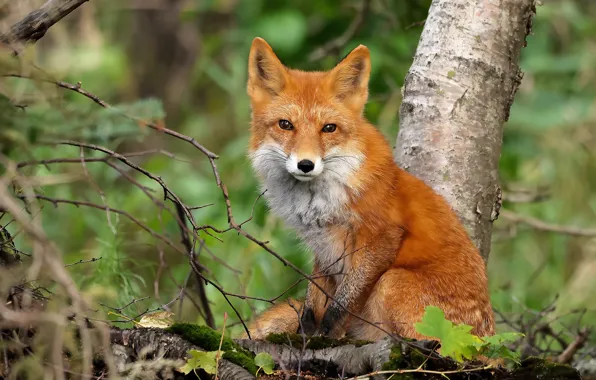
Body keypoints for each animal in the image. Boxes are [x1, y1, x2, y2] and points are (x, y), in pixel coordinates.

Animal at [241, 37, 494, 344]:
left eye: (329, 128)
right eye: (285, 125)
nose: (306, 164)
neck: (321, 198)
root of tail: (487, 342)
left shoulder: (381, 237)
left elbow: (342, 304)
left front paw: (325, 337)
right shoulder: (323, 249)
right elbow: (314, 299)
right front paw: (307, 333)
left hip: (392, 281)